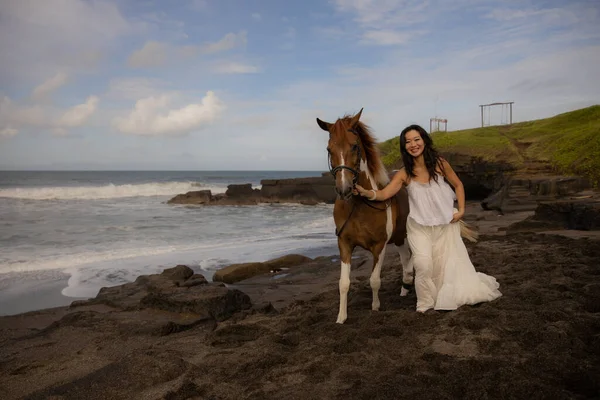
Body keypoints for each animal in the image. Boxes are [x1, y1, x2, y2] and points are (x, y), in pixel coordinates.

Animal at [316, 109, 414, 324]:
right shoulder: (344, 244)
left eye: (354, 145)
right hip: (400, 238)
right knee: (406, 263)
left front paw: (375, 308)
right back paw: (405, 290)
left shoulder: (380, 246)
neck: (359, 205)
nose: (344, 189)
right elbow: (343, 283)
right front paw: (341, 317)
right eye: (329, 149)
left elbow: (374, 280)